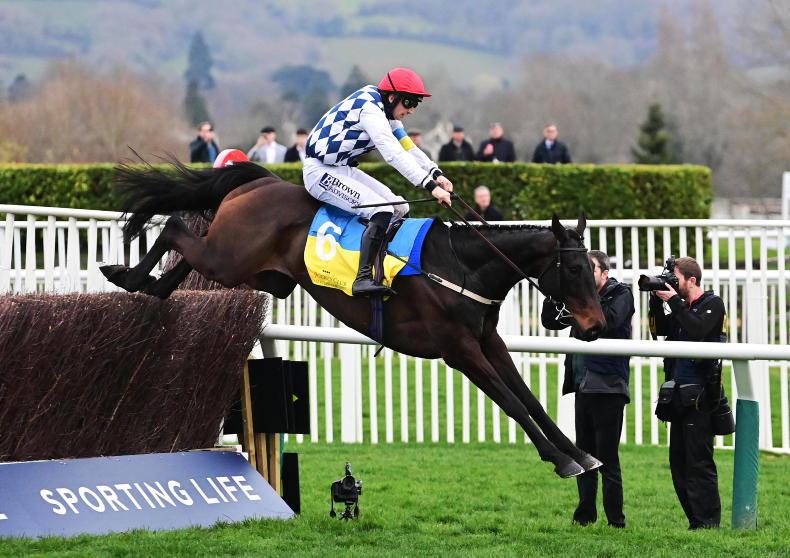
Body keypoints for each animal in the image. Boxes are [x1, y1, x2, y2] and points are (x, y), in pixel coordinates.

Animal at [102, 161, 606, 478]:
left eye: (597, 267)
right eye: (575, 269)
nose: (596, 326)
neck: (463, 265)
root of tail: (261, 182)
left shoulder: (488, 341)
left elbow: (532, 400)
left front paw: (581, 454)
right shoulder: (458, 350)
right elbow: (513, 403)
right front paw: (561, 460)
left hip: (249, 268)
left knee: (184, 253)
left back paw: (145, 284)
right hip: (230, 257)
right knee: (174, 229)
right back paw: (125, 273)